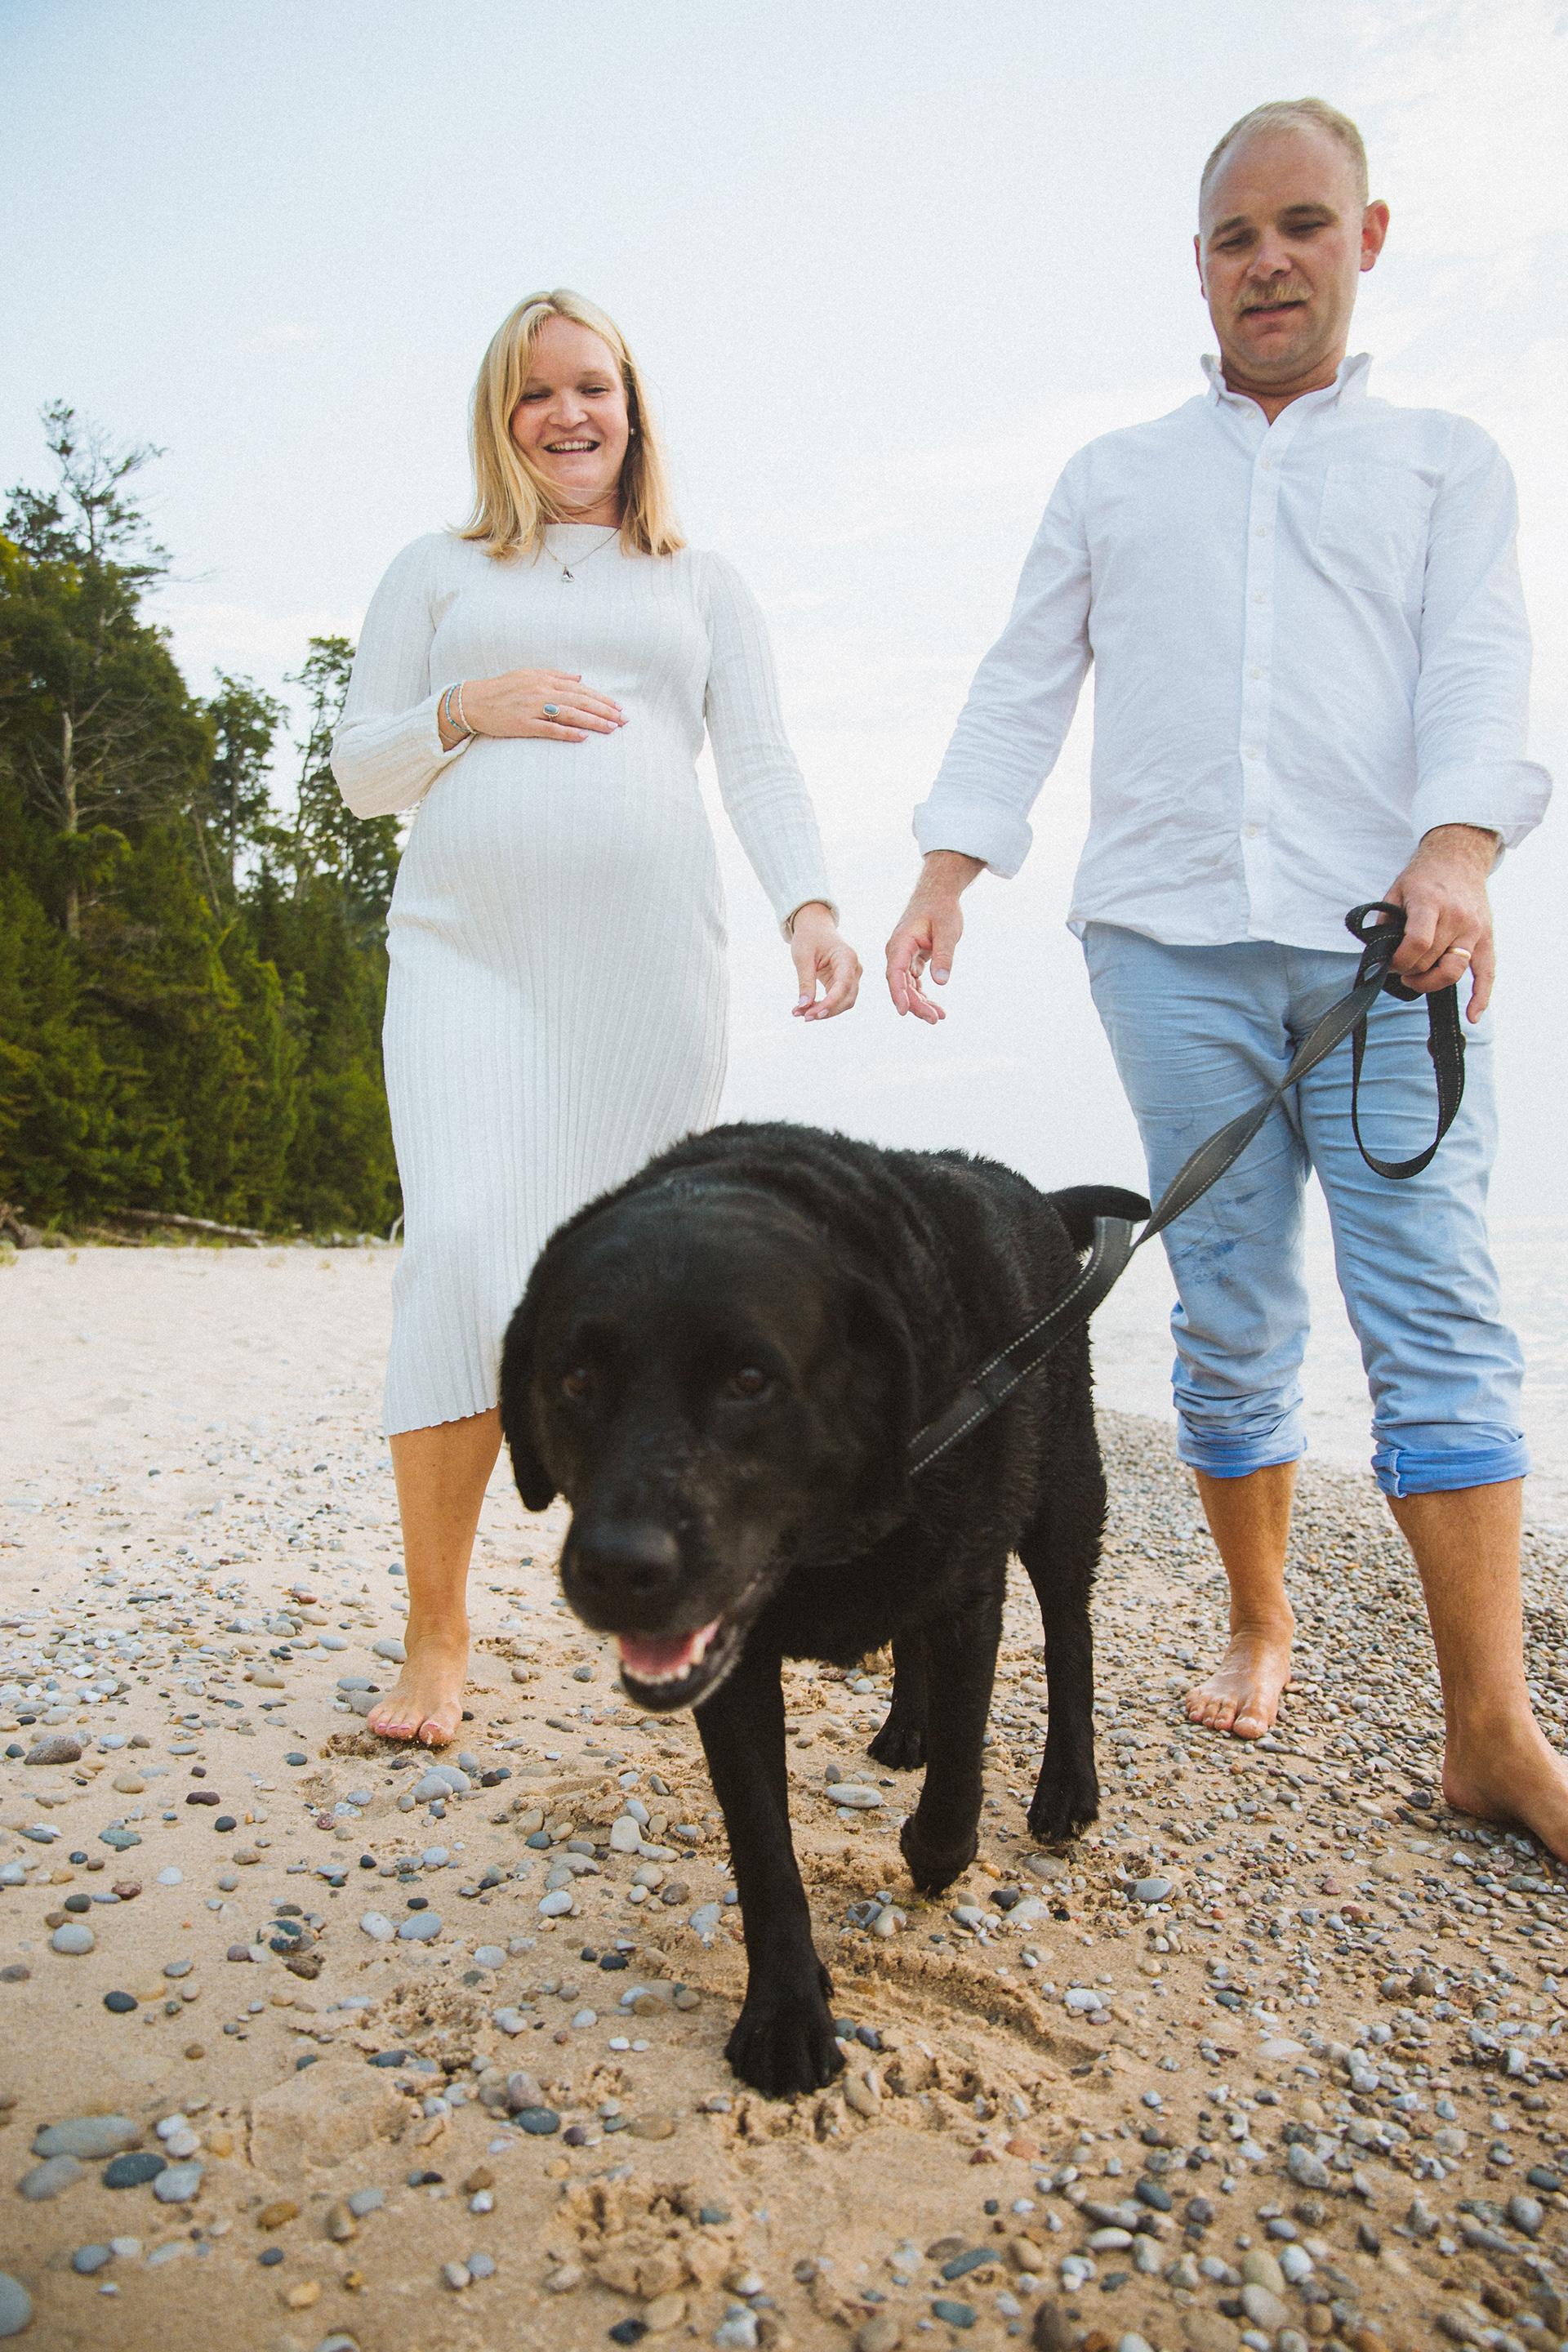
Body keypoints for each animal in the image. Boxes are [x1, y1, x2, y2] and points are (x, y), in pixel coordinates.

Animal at [498, 1122, 1147, 2097]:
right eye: (574, 1379)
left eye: (749, 1379)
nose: (618, 1567)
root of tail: (1031, 1189)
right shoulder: (732, 1675)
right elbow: (766, 1850)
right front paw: (785, 2012)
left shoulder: (970, 1593)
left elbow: (957, 1788)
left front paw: (930, 1851)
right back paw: (906, 1727)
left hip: (1066, 1492)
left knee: (1071, 1633)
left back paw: (1067, 1786)